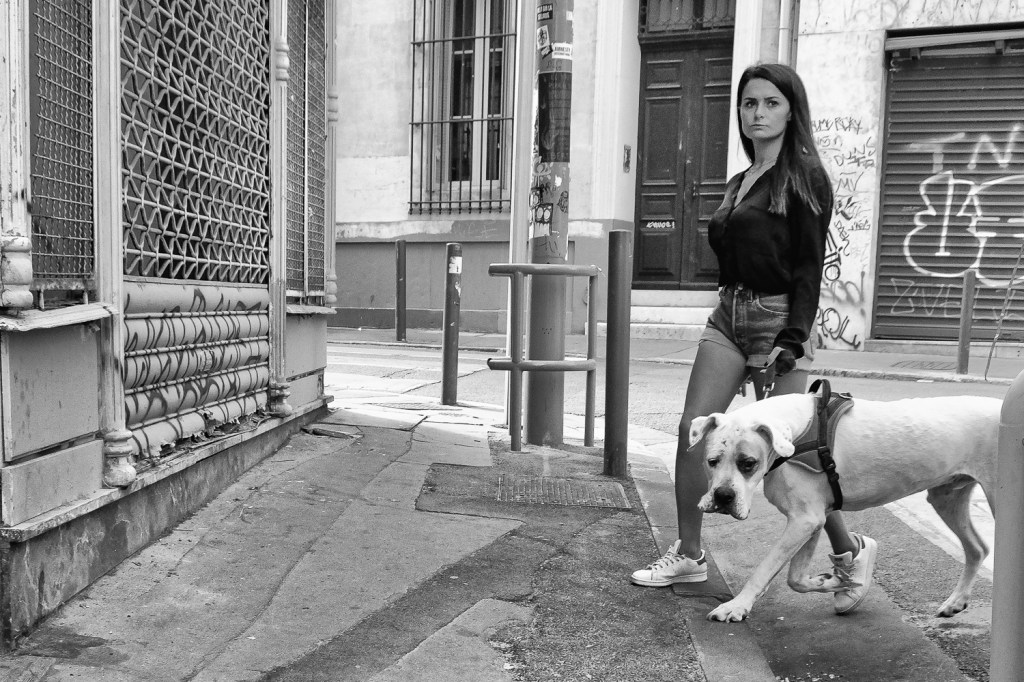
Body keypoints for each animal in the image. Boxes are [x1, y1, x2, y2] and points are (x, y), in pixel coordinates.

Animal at [689, 390, 1001, 623]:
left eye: (748, 464)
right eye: (711, 461)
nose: (723, 497)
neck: (795, 435)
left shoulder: (804, 521)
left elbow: (764, 568)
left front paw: (736, 606)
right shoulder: (810, 519)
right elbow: (795, 578)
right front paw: (832, 583)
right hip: (946, 497)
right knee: (977, 548)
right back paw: (955, 601)